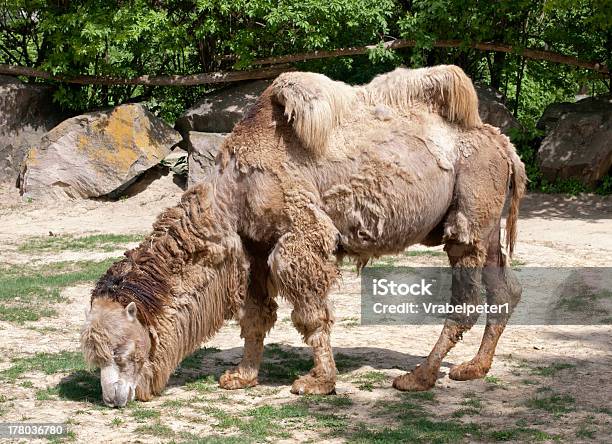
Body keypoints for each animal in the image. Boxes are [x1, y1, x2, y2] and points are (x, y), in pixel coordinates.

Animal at [80, 64, 524, 408]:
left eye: (120, 350)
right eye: (94, 357)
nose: (112, 398)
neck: (232, 192)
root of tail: (505, 146)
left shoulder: (300, 233)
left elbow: (310, 312)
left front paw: (318, 383)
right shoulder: (254, 247)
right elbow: (256, 315)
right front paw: (241, 376)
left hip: (471, 206)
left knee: (466, 293)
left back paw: (419, 377)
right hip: (488, 222)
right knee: (506, 288)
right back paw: (474, 368)